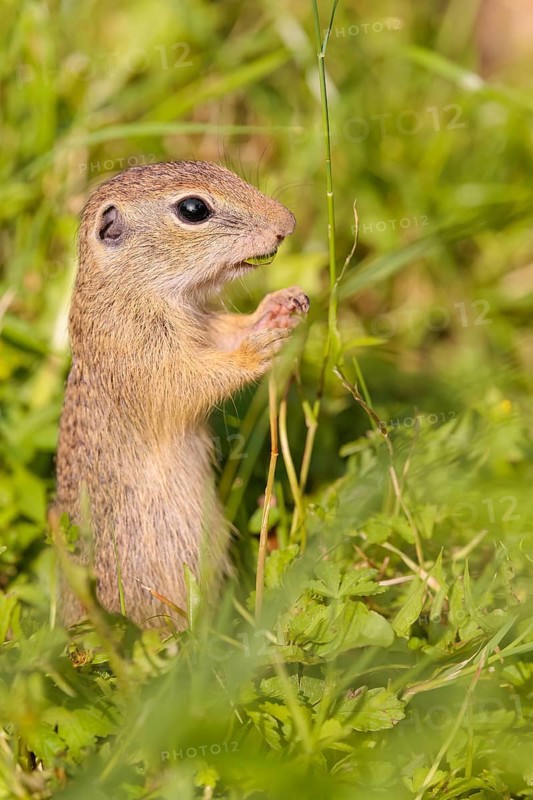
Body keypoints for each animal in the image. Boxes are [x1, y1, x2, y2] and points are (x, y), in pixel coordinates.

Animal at [54, 161, 309, 628]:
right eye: (193, 209)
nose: (288, 223)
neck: (131, 289)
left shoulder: (202, 324)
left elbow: (226, 333)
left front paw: (278, 306)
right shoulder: (144, 355)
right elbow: (191, 381)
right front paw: (259, 347)